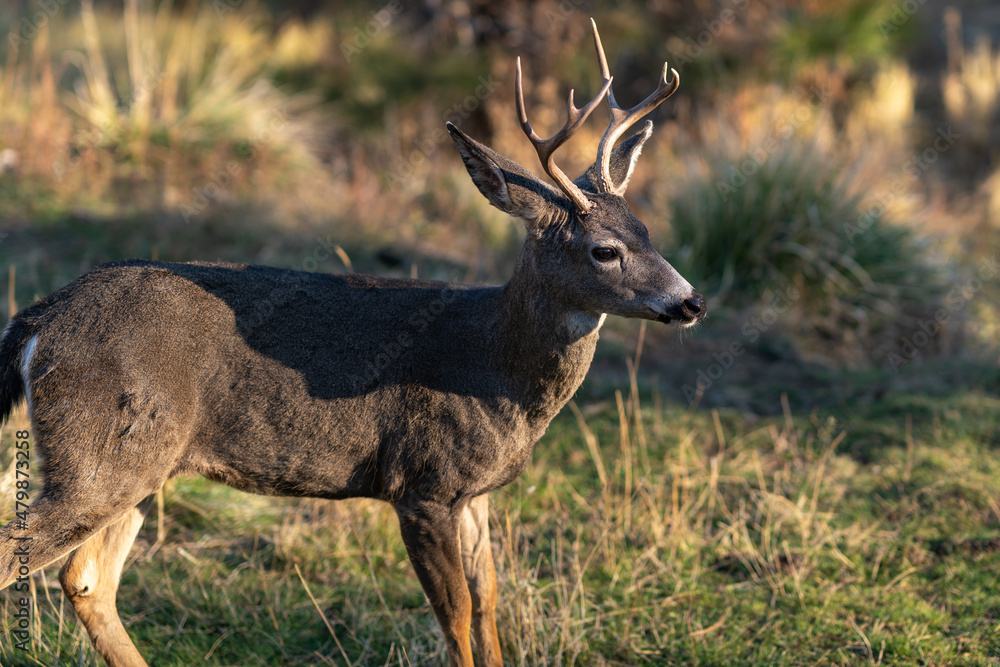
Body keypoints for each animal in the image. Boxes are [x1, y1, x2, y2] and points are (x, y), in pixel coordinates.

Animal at [0, 20, 704, 667]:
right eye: (604, 250)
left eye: (647, 230)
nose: (690, 301)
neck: (494, 367)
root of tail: (38, 320)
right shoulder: (422, 481)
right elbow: (457, 614)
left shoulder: (472, 493)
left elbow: (490, 601)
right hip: (100, 453)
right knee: (27, 558)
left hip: (145, 462)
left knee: (85, 579)